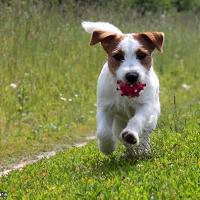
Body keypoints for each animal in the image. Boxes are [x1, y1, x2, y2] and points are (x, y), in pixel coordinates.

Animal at [81, 21, 164, 155]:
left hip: (152, 117)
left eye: (142, 55)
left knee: (145, 133)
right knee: (119, 135)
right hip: (118, 123)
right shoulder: (104, 107)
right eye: (118, 56)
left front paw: (131, 134)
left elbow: (137, 120)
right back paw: (130, 152)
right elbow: (103, 132)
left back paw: (143, 149)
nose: (132, 75)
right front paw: (107, 147)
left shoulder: (146, 106)